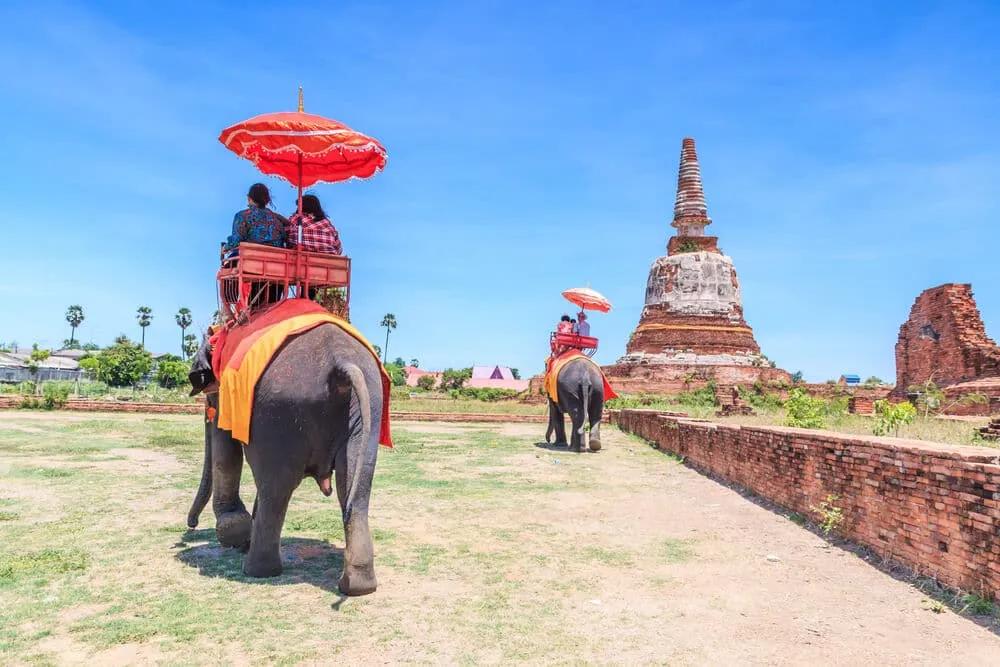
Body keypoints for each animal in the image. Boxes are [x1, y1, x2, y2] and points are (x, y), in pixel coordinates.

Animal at [186, 323, 384, 596]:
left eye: (208, 399)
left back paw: (256, 570)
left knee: (275, 488)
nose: (191, 524)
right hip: (369, 410)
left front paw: (233, 532)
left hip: (279, 413)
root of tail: (342, 364)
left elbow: (226, 449)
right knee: (355, 486)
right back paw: (357, 586)